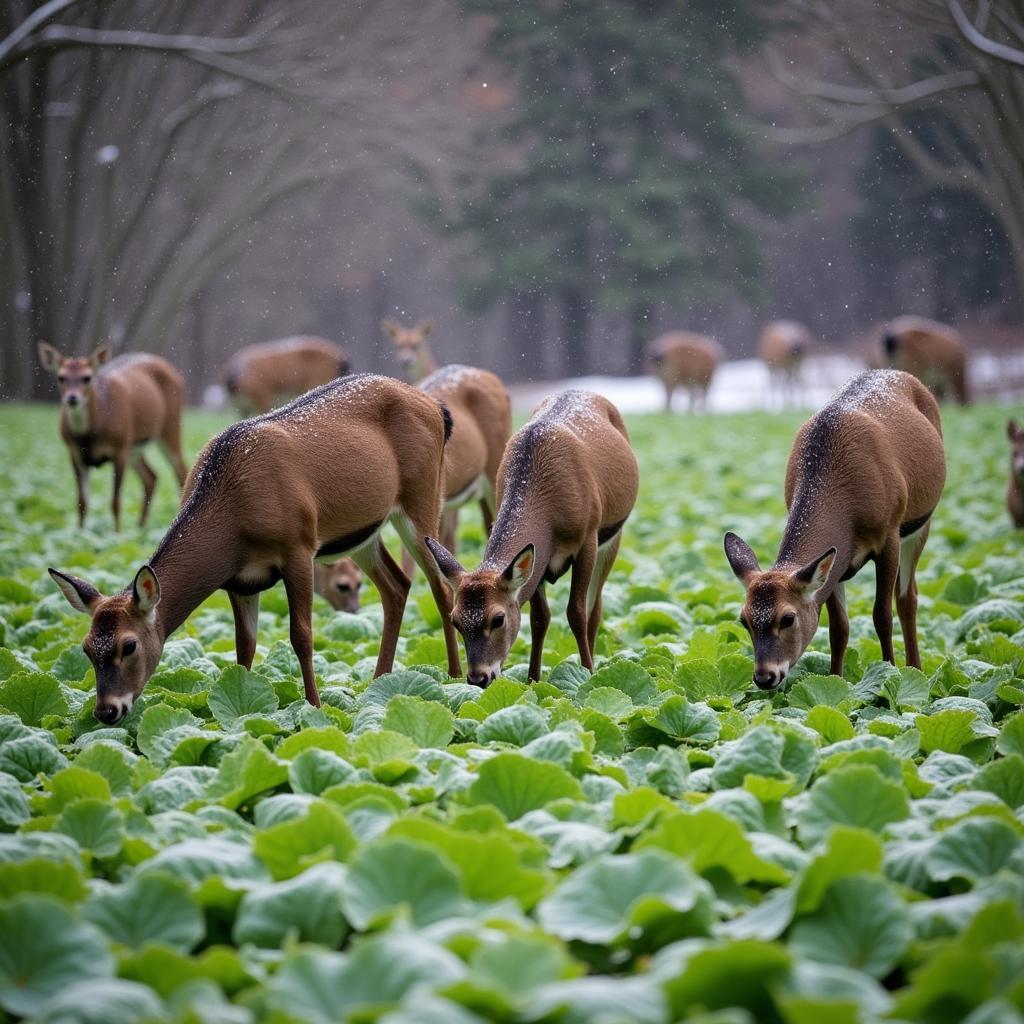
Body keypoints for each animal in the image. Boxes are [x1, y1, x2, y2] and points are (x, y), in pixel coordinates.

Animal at [38, 344, 190, 528]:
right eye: (61, 377)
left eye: (87, 377)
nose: (72, 398)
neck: (89, 435)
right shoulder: (74, 454)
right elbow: (82, 502)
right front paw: (80, 532)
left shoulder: (120, 447)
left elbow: (115, 502)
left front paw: (118, 533)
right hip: (134, 448)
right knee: (151, 476)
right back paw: (140, 527)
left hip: (170, 427)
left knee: (181, 472)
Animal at [48, 372, 460, 724]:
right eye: (86, 647)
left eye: (129, 645)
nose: (107, 711)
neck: (235, 514)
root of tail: (438, 408)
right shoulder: (239, 580)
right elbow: (243, 646)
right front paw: (240, 704)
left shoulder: (299, 546)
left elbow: (301, 634)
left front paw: (314, 708)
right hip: (365, 533)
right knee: (397, 586)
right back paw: (379, 681)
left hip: (423, 498)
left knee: (440, 585)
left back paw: (455, 676)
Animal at [421, 391, 630, 688]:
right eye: (455, 620)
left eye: (498, 618)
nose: (478, 677)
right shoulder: (538, 561)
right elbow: (539, 619)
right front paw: (532, 680)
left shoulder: (588, 537)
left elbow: (576, 612)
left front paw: (587, 673)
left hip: (613, 536)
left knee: (595, 607)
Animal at [720, 366, 942, 688]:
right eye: (744, 619)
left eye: (787, 618)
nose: (764, 676)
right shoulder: (837, 561)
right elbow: (839, 628)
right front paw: (834, 682)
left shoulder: (889, 533)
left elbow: (881, 615)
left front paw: (889, 673)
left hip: (920, 523)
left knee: (907, 598)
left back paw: (916, 669)